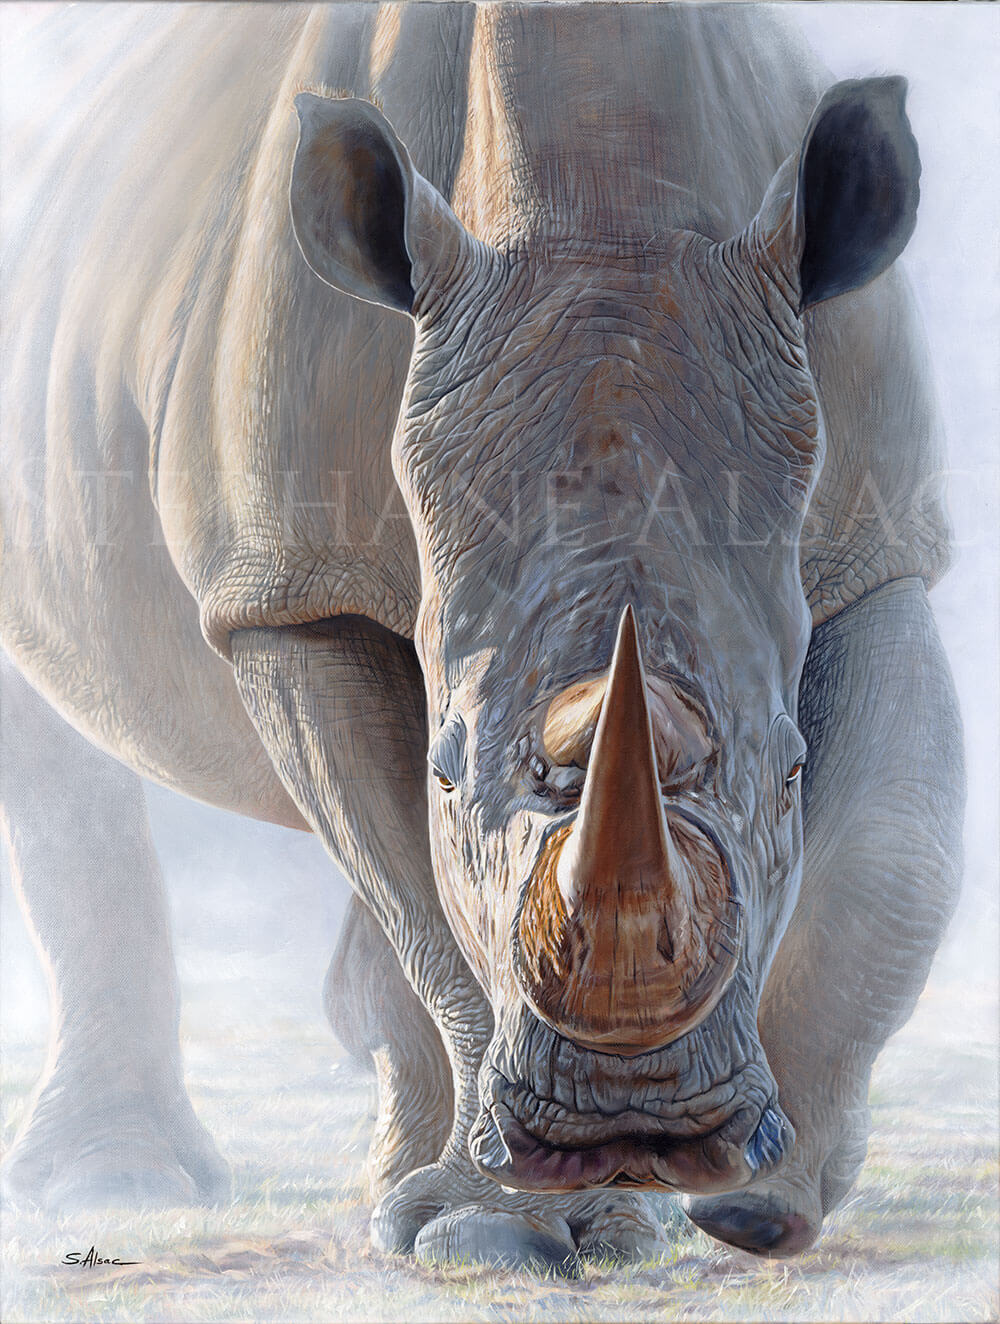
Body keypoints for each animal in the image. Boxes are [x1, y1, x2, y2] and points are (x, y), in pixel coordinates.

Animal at [1, 2, 963, 1269]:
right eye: (446, 771)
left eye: (793, 773)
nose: (641, 1129)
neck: (604, 215)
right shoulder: (290, 584)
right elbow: (421, 891)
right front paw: (495, 1229)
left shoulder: (874, 532)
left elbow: (899, 848)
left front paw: (764, 1200)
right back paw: (116, 1187)